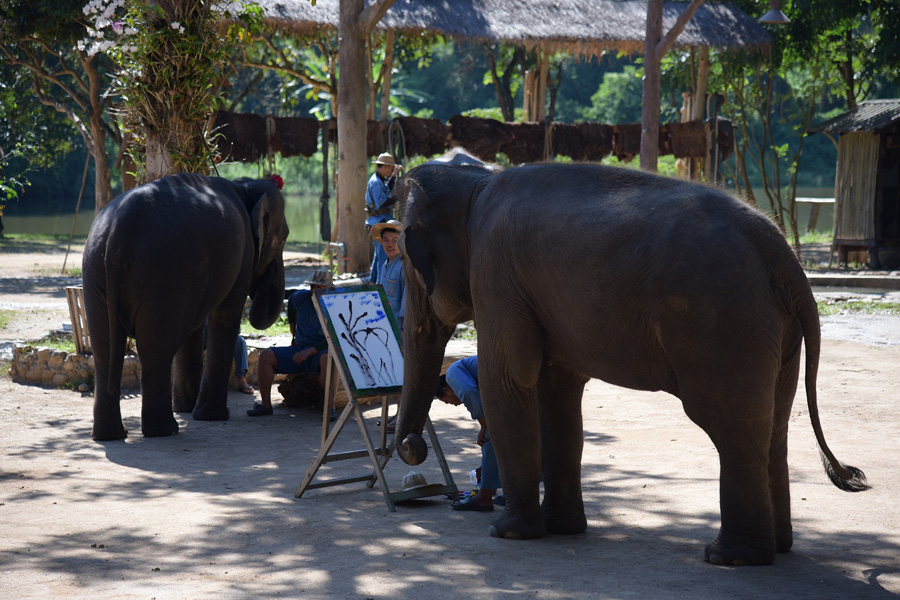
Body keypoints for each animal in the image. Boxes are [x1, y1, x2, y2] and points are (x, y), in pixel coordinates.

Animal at [83, 173, 288, 440]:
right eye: (283, 239)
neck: (244, 186)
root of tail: (118, 233)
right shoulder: (242, 255)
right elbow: (225, 317)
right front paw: (211, 416)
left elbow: (196, 326)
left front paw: (188, 409)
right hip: (163, 274)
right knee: (156, 349)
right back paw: (165, 430)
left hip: (95, 271)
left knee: (105, 349)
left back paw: (111, 435)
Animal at [390, 156, 868, 568]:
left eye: (408, 265)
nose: (412, 446)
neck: (476, 183)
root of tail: (785, 257)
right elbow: (557, 391)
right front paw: (562, 529)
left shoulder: (495, 274)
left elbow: (508, 379)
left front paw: (509, 533)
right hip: (775, 331)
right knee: (774, 426)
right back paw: (779, 547)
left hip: (724, 323)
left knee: (731, 427)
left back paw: (730, 557)